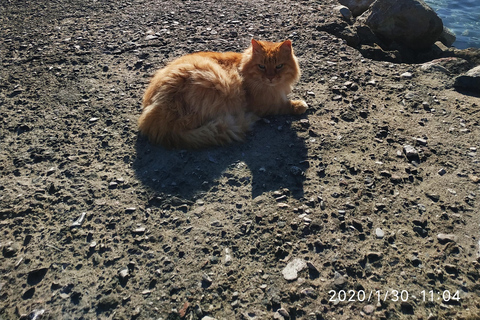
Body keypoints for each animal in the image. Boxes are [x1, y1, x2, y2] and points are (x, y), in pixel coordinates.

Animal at [138, 39, 308, 149]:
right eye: (262, 66)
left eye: (279, 66)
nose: (270, 77)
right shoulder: (264, 105)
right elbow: (283, 105)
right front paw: (299, 105)